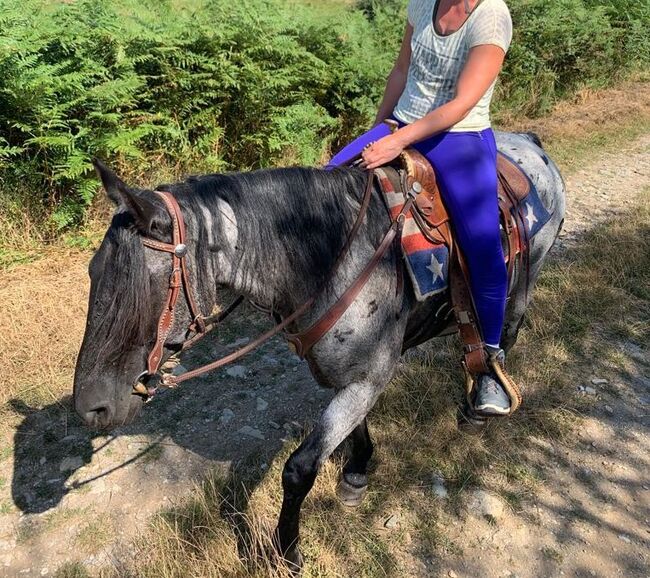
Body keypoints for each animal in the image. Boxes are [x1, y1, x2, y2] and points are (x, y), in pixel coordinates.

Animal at [73, 132, 564, 572]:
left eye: (145, 284)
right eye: (93, 272)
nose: (90, 408)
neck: (329, 256)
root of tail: (530, 143)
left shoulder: (368, 378)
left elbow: (299, 469)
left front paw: (288, 553)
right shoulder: (348, 375)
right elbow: (353, 430)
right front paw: (357, 471)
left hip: (526, 278)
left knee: (504, 333)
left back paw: (483, 402)